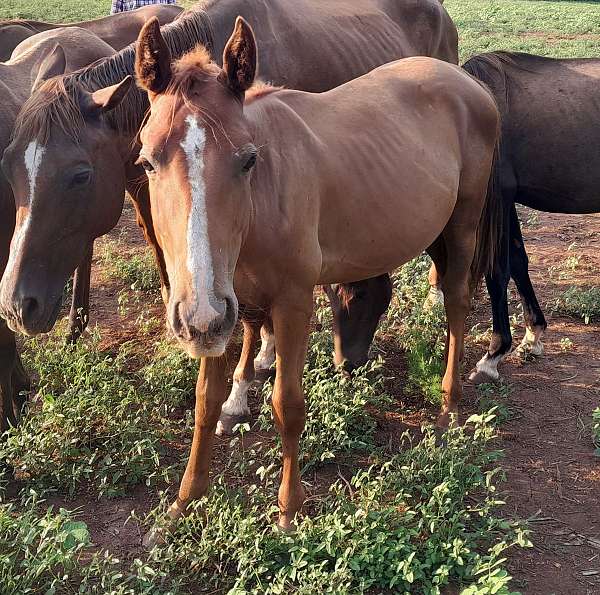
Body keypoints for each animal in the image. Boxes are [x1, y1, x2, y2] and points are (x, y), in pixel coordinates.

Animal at [131, 18, 502, 536]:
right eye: (147, 161)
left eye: (248, 159)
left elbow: (287, 405)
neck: (262, 202)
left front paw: (289, 510)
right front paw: (186, 500)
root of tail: (467, 82)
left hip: (463, 223)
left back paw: (449, 401)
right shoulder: (221, 308)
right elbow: (206, 402)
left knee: (458, 300)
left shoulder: (292, 303)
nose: (196, 314)